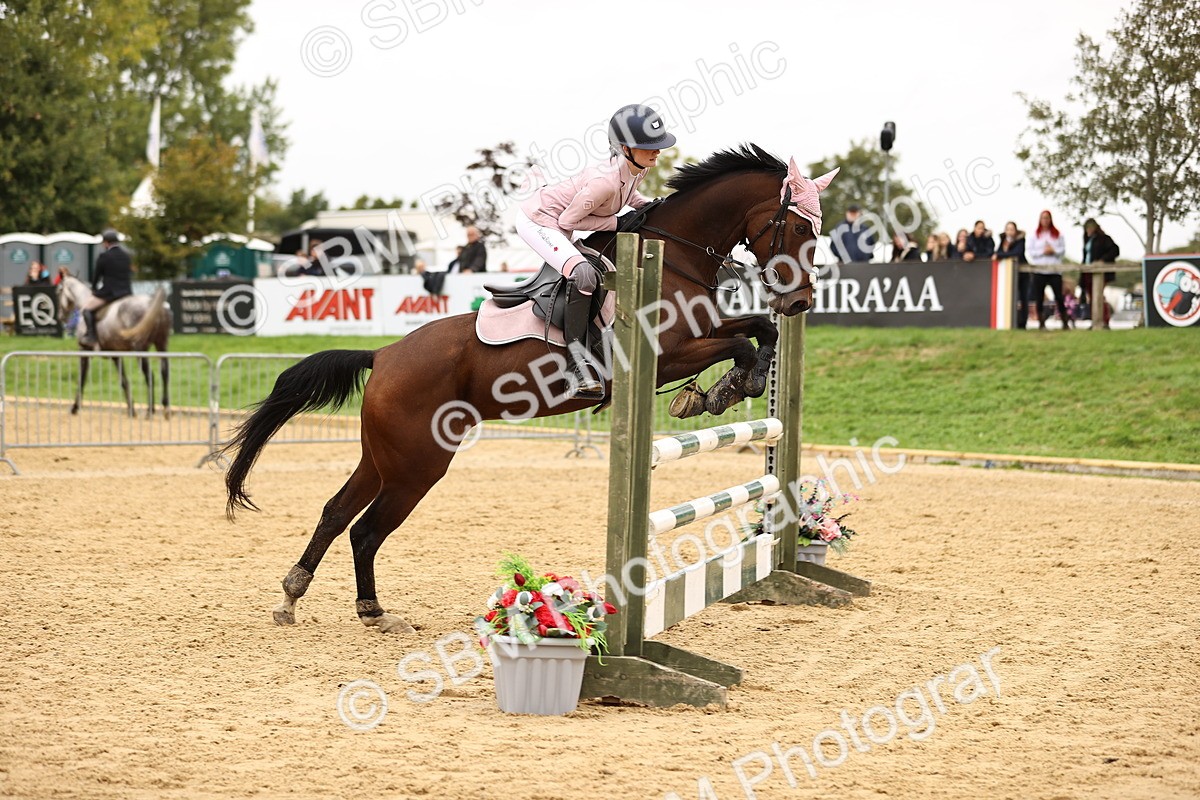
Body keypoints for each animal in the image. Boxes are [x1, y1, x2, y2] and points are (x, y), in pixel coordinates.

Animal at [55, 270, 172, 418]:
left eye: (58, 291)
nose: (61, 317)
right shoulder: (115, 355)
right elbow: (124, 381)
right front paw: (131, 410)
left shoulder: (84, 350)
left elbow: (82, 379)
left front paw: (75, 407)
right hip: (161, 345)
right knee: (165, 372)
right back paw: (166, 408)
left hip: (140, 349)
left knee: (149, 376)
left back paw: (150, 410)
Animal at [222, 144, 838, 633]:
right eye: (799, 228)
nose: (801, 302)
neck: (677, 260)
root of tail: (384, 355)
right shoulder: (667, 356)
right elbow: (741, 343)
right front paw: (725, 389)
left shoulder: (703, 333)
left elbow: (757, 330)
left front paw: (731, 384)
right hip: (418, 463)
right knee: (367, 529)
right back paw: (371, 610)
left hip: (384, 457)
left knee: (336, 513)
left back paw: (298, 596)